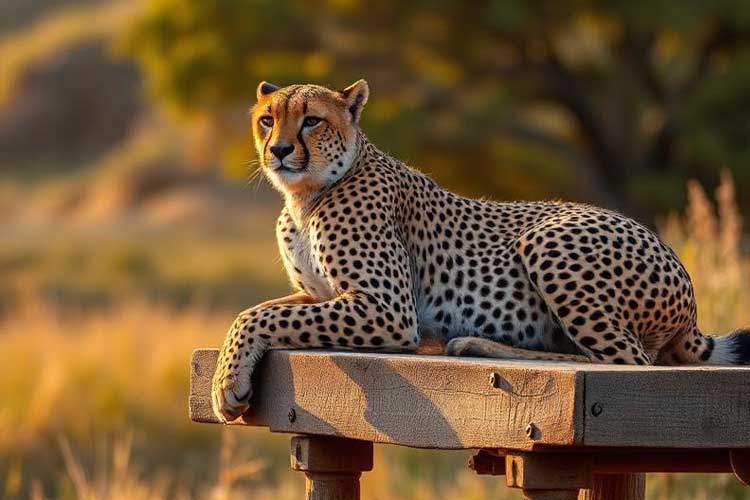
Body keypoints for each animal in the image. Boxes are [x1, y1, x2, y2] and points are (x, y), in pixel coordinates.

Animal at [211, 79, 750, 422]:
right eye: (267, 120)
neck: (306, 196)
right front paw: (227, 375)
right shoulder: (319, 296)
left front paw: (226, 385)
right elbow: (252, 311)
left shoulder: (387, 310)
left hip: (547, 241)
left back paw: (474, 344)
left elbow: (257, 315)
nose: (279, 151)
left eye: (312, 121)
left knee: (624, 363)